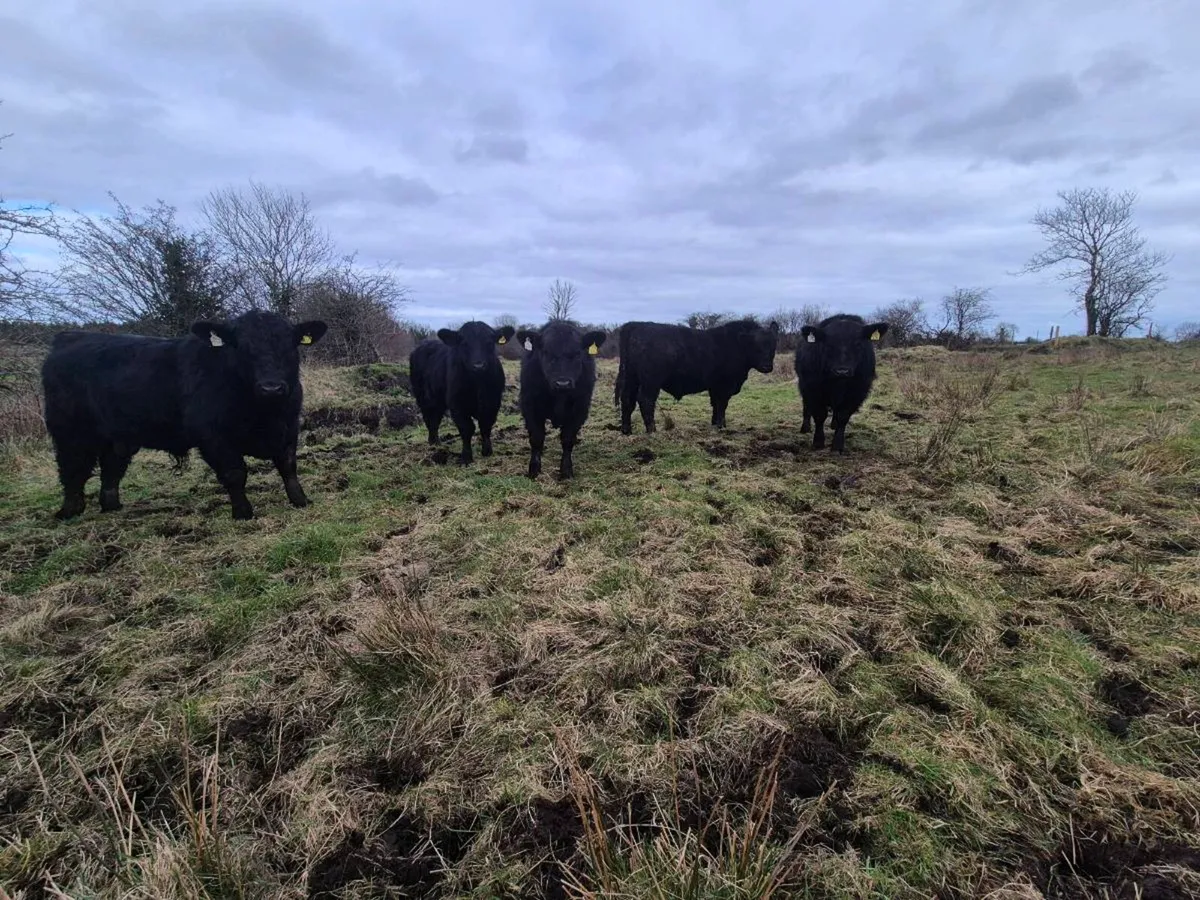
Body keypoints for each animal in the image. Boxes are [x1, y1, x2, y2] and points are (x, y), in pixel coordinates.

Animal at [40, 311, 327, 521]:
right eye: (240, 347)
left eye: (289, 345)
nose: (272, 387)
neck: (265, 413)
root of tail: (67, 338)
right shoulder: (213, 436)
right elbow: (235, 473)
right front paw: (243, 513)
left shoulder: (289, 427)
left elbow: (288, 466)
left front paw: (301, 501)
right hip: (70, 431)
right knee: (72, 469)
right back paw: (69, 511)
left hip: (118, 436)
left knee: (111, 469)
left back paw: (112, 506)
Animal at [409, 321, 516, 464]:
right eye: (464, 344)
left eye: (489, 342)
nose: (478, 366)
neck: (478, 385)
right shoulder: (457, 405)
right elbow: (467, 428)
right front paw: (466, 457)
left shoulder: (492, 403)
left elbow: (486, 425)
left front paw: (487, 451)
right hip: (422, 396)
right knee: (429, 419)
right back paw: (433, 441)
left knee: (436, 418)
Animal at [516, 321, 607, 479]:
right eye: (546, 352)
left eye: (577, 353)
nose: (563, 383)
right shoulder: (529, 406)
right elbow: (537, 437)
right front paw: (534, 470)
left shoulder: (580, 408)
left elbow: (568, 439)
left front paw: (566, 471)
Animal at [614, 318, 780, 434]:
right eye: (756, 346)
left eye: (773, 345)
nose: (767, 367)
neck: (737, 344)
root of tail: (635, 325)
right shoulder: (724, 385)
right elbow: (722, 405)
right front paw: (721, 426)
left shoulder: (714, 386)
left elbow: (715, 405)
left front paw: (716, 424)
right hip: (651, 381)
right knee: (645, 401)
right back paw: (652, 431)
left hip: (631, 377)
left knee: (627, 400)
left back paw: (627, 431)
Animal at [795, 313, 888, 452]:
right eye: (828, 345)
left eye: (858, 344)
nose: (842, 371)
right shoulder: (812, 389)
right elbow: (819, 415)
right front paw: (818, 442)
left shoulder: (857, 392)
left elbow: (843, 416)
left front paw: (838, 445)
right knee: (806, 407)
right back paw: (805, 427)